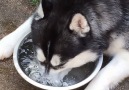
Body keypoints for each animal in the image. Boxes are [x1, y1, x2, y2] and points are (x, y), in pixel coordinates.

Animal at [0, 0, 129, 89]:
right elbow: (29, 21)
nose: (45, 81)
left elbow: (102, 76)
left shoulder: (125, 56)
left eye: (61, 65)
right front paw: (4, 44)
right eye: (40, 60)